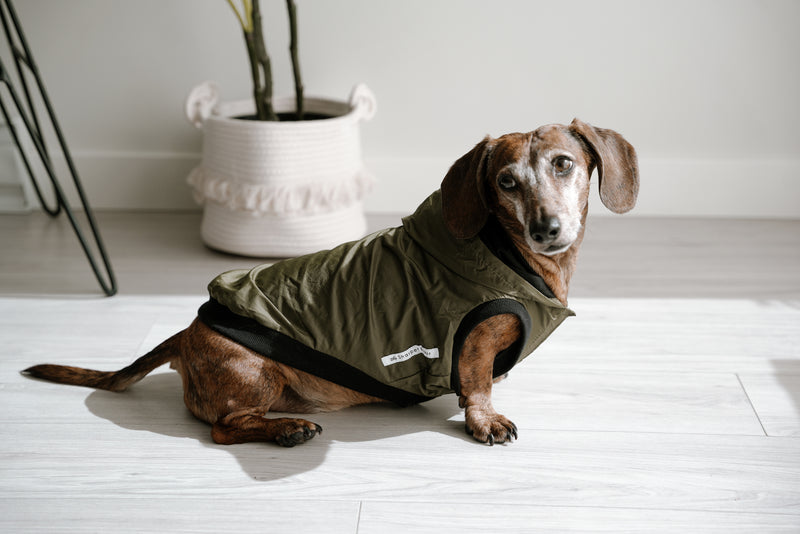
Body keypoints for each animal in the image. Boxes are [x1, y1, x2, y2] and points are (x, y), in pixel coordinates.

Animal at [21, 120, 640, 448]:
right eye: (506, 182)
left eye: (563, 164)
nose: (546, 229)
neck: (503, 251)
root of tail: (187, 331)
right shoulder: (474, 338)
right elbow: (478, 383)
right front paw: (486, 420)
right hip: (258, 374)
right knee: (223, 429)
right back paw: (287, 429)